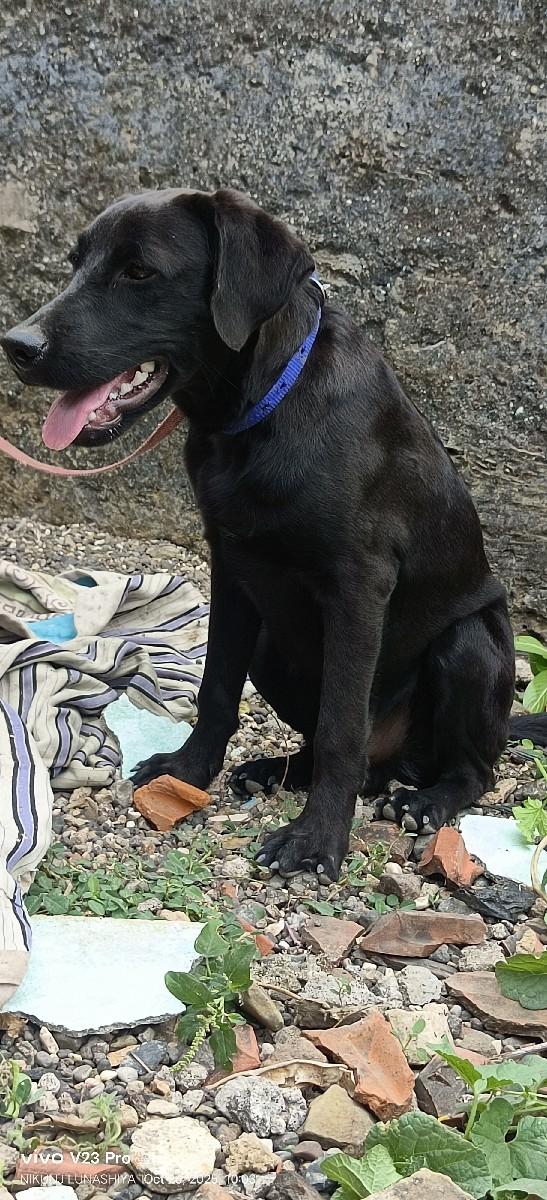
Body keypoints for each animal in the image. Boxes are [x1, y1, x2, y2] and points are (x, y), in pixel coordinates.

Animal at [3, 187, 546, 880]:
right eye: (76, 263)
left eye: (139, 272)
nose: (17, 345)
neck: (263, 411)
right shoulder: (233, 569)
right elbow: (216, 685)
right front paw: (190, 769)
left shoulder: (358, 587)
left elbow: (342, 727)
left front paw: (316, 840)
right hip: (272, 644)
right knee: (350, 758)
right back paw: (275, 770)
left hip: (470, 644)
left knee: (463, 768)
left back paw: (426, 800)